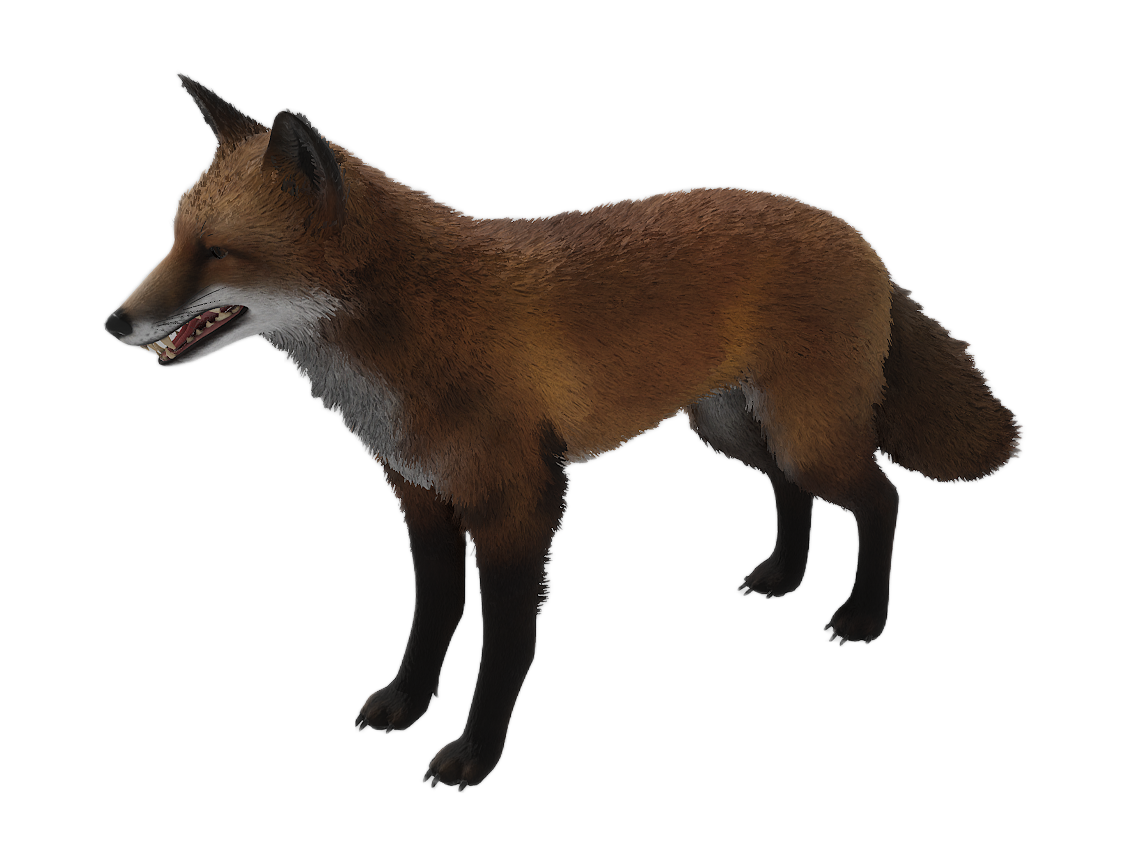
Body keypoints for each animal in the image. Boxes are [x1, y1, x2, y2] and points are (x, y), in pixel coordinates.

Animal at [103, 72, 1024, 790]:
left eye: (218, 252)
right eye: (174, 238)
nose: (114, 324)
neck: (407, 337)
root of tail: (856, 232)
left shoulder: (521, 501)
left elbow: (506, 644)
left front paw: (474, 754)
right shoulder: (422, 497)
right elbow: (433, 617)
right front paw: (405, 703)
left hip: (808, 432)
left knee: (881, 499)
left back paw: (862, 615)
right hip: (730, 427)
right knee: (791, 492)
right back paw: (782, 576)